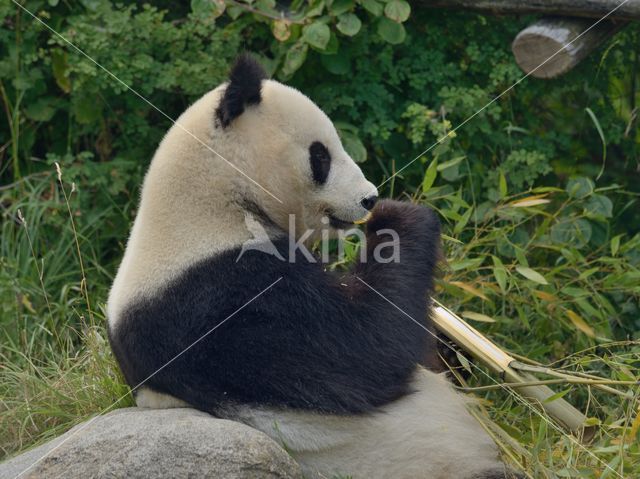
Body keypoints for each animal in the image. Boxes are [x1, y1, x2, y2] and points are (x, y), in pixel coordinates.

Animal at [107, 55, 512, 479]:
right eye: (321, 156)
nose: (369, 198)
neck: (214, 203)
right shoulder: (219, 299)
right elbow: (367, 349)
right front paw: (399, 216)